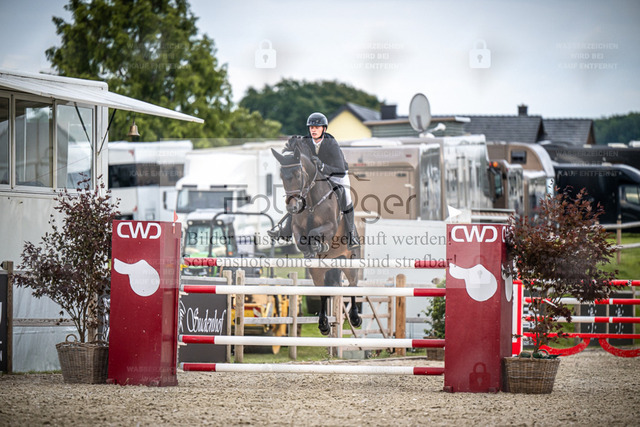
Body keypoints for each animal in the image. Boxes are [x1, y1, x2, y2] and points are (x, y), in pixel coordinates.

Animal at [271, 143, 362, 335]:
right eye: (282, 176)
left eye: (299, 175)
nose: (292, 208)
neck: (312, 200)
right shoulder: (297, 228)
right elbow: (301, 239)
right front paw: (310, 251)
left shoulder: (331, 226)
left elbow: (315, 232)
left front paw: (319, 246)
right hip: (319, 272)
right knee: (323, 292)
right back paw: (324, 324)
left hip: (351, 261)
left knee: (353, 285)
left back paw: (355, 318)